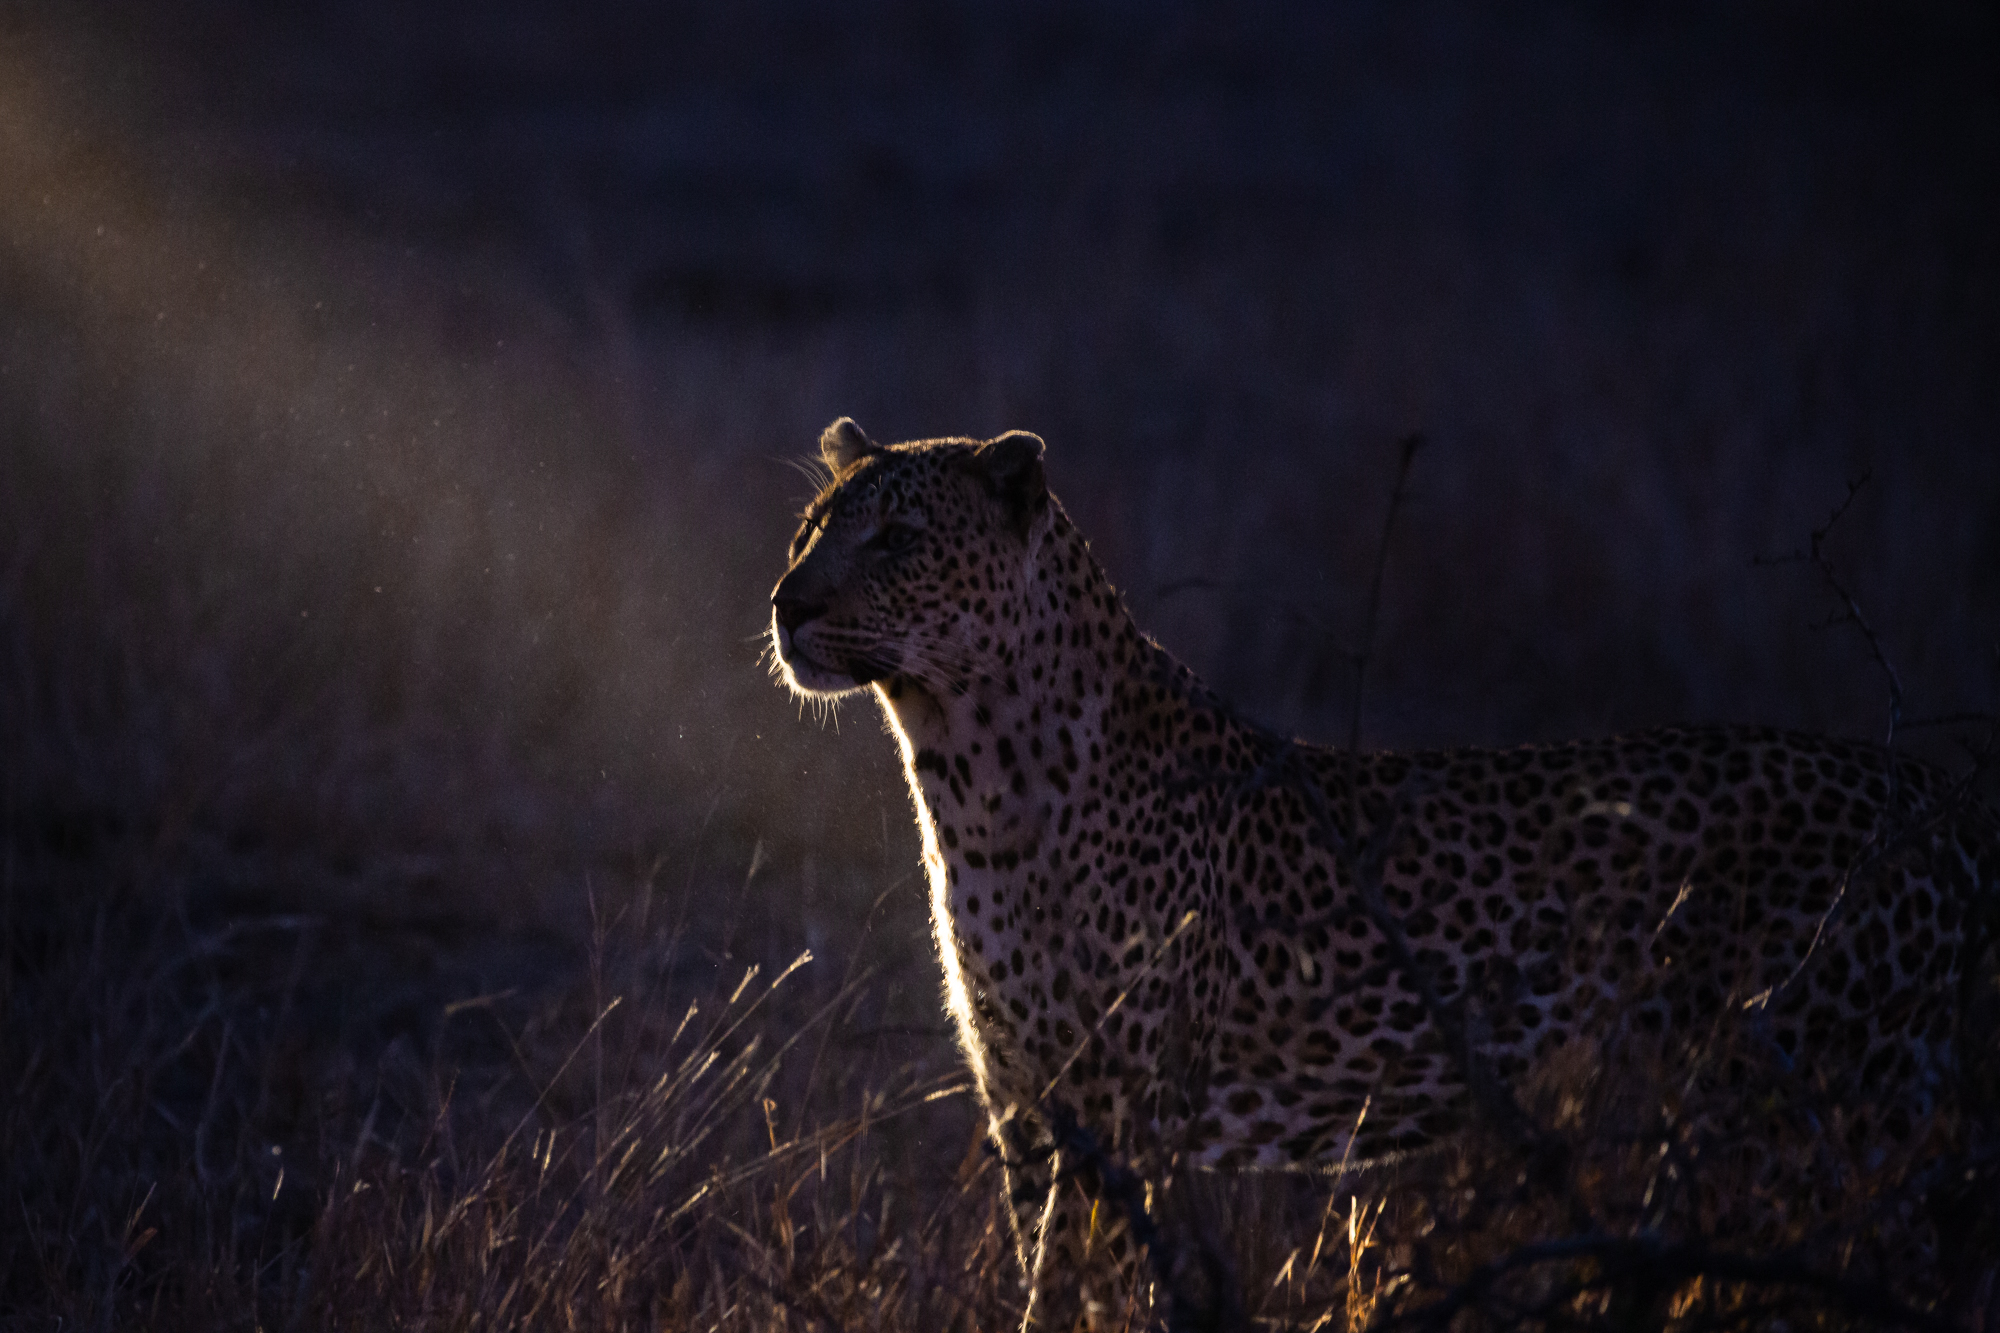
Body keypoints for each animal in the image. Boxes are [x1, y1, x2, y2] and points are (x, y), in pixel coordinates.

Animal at [768, 418, 1998, 1330]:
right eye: (811, 529)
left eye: (896, 539)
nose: (787, 603)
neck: (967, 774)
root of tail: (1931, 789)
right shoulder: (1027, 1099)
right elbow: (1049, 1276)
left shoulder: (1124, 1109)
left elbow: (1089, 1288)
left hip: (1843, 1107)